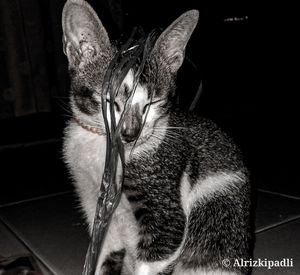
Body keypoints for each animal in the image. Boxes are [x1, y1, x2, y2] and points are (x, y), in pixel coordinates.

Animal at [62, 0, 252, 275]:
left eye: (152, 103)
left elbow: (161, 245)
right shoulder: (92, 199)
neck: (103, 146)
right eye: (110, 101)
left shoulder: (166, 212)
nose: (130, 133)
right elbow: (103, 251)